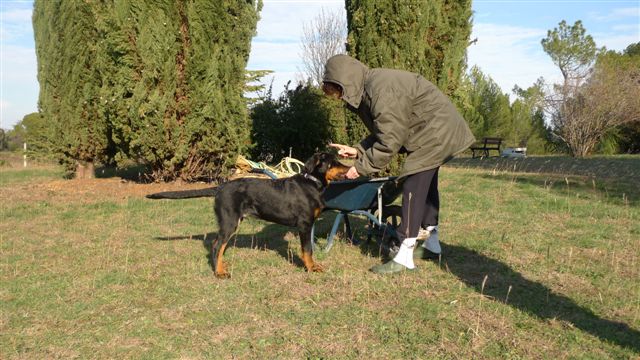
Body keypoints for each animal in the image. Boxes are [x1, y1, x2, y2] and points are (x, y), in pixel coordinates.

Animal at [146, 152, 350, 278]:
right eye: (333, 162)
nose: (349, 169)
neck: (312, 183)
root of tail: (220, 187)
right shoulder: (305, 225)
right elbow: (307, 250)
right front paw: (311, 268)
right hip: (229, 221)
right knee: (216, 245)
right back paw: (219, 273)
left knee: (220, 247)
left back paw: (222, 266)